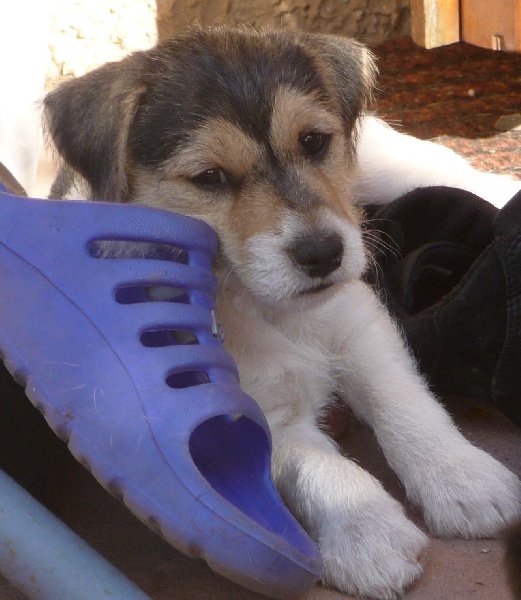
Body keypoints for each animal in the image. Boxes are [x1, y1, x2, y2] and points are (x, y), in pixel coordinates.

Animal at [43, 25, 520, 596]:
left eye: (314, 141)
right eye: (209, 177)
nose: (324, 254)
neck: (268, 307)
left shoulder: (362, 324)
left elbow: (406, 404)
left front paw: (462, 478)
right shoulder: (248, 412)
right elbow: (319, 467)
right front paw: (367, 534)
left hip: (388, 164)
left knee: (465, 174)